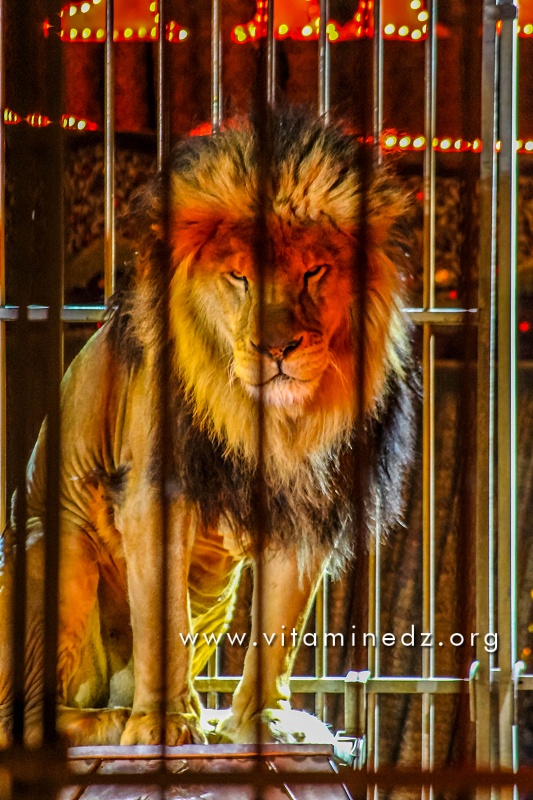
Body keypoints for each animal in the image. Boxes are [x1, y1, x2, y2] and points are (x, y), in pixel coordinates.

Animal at [0, 111, 416, 747]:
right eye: (239, 277)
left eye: (314, 271)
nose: (277, 349)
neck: (275, 420)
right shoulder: (153, 495)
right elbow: (162, 625)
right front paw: (165, 723)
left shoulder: (307, 503)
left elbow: (280, 631)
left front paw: (265, 721)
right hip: (55, 545)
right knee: (22, 725)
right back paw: (113, 722)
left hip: (215, 596)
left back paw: (214, 723)